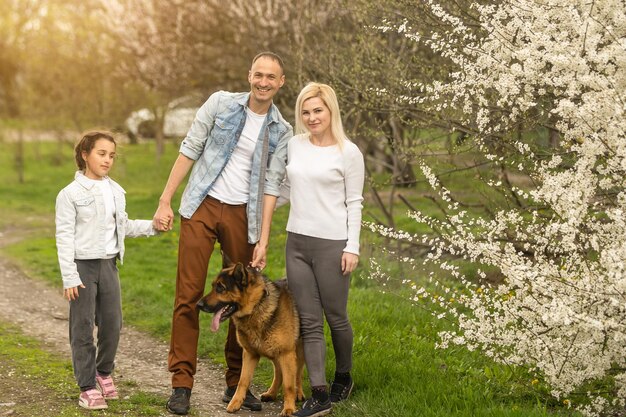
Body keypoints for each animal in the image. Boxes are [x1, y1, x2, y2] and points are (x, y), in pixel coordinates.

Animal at [195, 262, 302, 414]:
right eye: (213, 286)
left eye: (221, 288)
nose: (198, 305)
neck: (256, 306)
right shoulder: (250, 354)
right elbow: (243, 381)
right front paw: (235, 403)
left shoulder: (286, 354)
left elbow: (289, 385)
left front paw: (289, 408)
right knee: (279, 371)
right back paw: (272, 393)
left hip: (298, 348)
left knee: (298, 370)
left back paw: (299, 393)